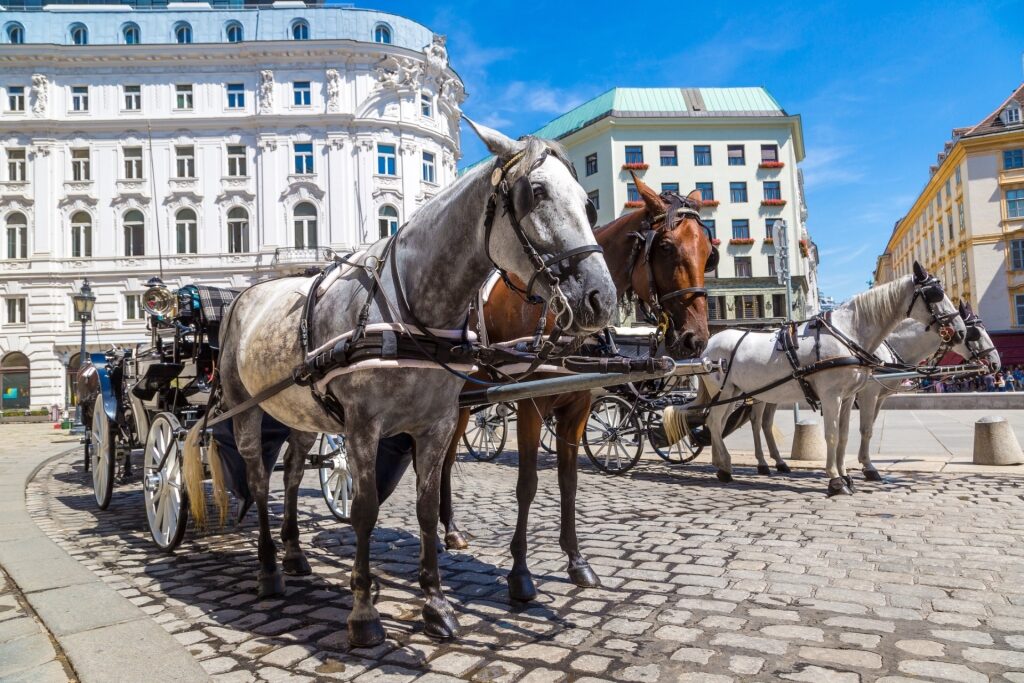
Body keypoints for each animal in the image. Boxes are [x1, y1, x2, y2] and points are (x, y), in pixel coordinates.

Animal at [183, 119, 618, 647]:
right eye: (536, 192)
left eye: (588, 203)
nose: (602, 297)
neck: (411, 312)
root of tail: (240, 296)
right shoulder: (362, 428)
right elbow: (365, 510)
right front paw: (364, 610)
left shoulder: (435, 426)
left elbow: (426, 509)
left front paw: (435, 602)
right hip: (245, 408)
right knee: (259, 479)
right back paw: (268, 568)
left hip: (302, 414)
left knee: (290, 476)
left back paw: (294, 553)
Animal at [438, 174, 714, 602]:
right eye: (666, 247)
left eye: (708, 251)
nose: (695, 339)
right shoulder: (530, 405)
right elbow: (528, 485)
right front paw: (520, 574)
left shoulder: (579, 408)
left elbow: (569, 484)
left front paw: (576, 561)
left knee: (445, 460)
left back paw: (450, 530)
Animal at [699, 262, 965, 496]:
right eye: (935, 294)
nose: (960, 331)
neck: (847, 334)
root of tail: (710, 343)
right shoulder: (833, 396)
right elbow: (833, 434)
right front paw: (836, 480)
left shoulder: (847, 397)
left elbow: (845, 435)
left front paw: (847, 476)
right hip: (724, 391)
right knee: (715, 422)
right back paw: (726, 467)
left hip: (736, 392)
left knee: (722, 423)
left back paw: (724, 464)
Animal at [747, 300, 999, 481]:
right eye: (974, 333)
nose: (995, 363)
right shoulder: (868, 393)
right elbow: (865, 429)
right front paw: (868, 467)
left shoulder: (878, 397)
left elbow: (868, 428)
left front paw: (860, 464)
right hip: (758, 394)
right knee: (756, 422)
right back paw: (762, 463)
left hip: (772, 394)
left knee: (766, 424)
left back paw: (779, 462)